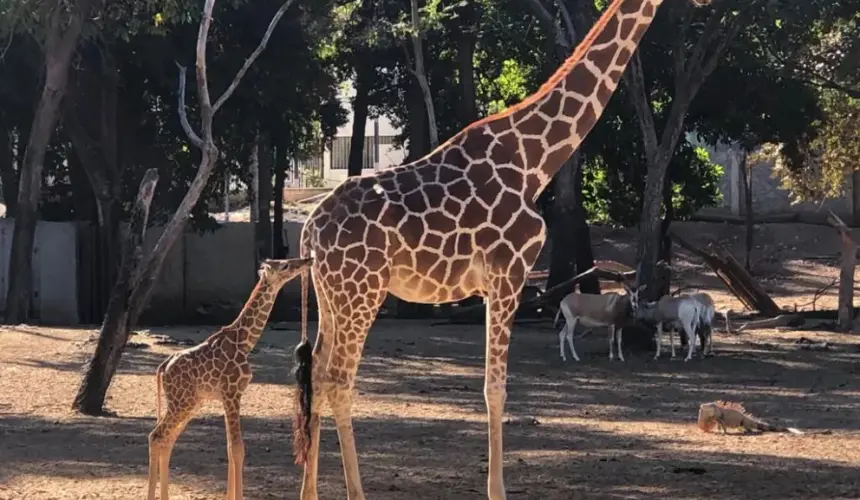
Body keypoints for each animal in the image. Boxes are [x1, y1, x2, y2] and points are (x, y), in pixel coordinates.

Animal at [147, 258, 312, 500]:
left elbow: (229, 447)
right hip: (181, 402)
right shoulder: (232, 393)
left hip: (191, 403)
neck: (244, 341)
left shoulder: (228, 397)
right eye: (284, 266)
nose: (307, 260)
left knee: (167, 439)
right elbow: (237, 448)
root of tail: (163, 367)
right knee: (156, 436)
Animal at [292, 0, 708, 498]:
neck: (535, 161)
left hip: (331, 296)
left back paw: (309, 491)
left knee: (316, 374)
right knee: (339, 380)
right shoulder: (508, 274)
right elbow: (496, 388)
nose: (702, 7)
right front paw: (498, 490)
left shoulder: (496, 284)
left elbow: (492, 385)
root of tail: (310, 230)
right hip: (362, 292)